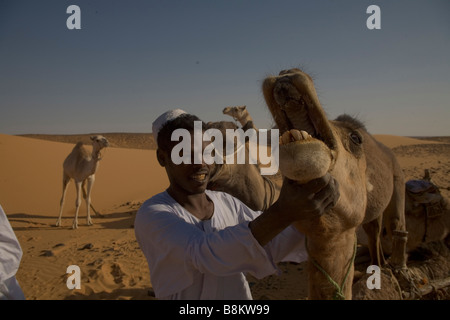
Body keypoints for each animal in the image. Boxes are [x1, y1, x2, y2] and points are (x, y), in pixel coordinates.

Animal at [260, 68, 408, 300]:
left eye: (356, 138)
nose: (285, 73)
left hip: (398, 178)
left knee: (394, 224)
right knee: (373, 228)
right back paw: (379, 265)